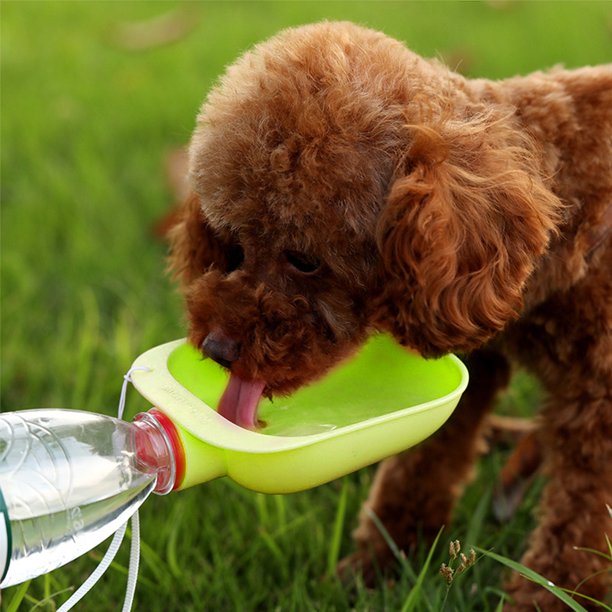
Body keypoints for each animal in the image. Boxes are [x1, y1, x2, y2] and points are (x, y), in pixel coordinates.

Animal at [169, 21, 612, 608]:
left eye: (305, 259)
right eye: (233, 246)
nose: (217, 349)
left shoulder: (598, 406)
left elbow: (577, 525)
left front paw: (547, 597)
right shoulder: (475, 358)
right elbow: (422, 465)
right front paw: (378, 565)